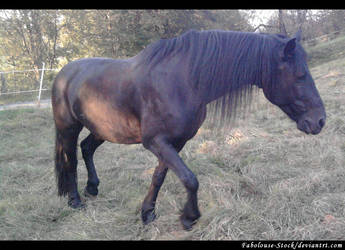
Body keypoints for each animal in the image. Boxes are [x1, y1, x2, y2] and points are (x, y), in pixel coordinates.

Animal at [51, 28, 326, 229]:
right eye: (300, 75)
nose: (320, 121)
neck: (183, 80)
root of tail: (64, 73)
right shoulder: (156, 142)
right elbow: (190, 179)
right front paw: (189, 216)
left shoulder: (175, 142)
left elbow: (160, 177)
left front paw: (148, 213)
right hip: (68, 128)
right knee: (69, 159)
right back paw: (75, 200)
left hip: (103, 129)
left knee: (86, 148)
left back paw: (92, 188)